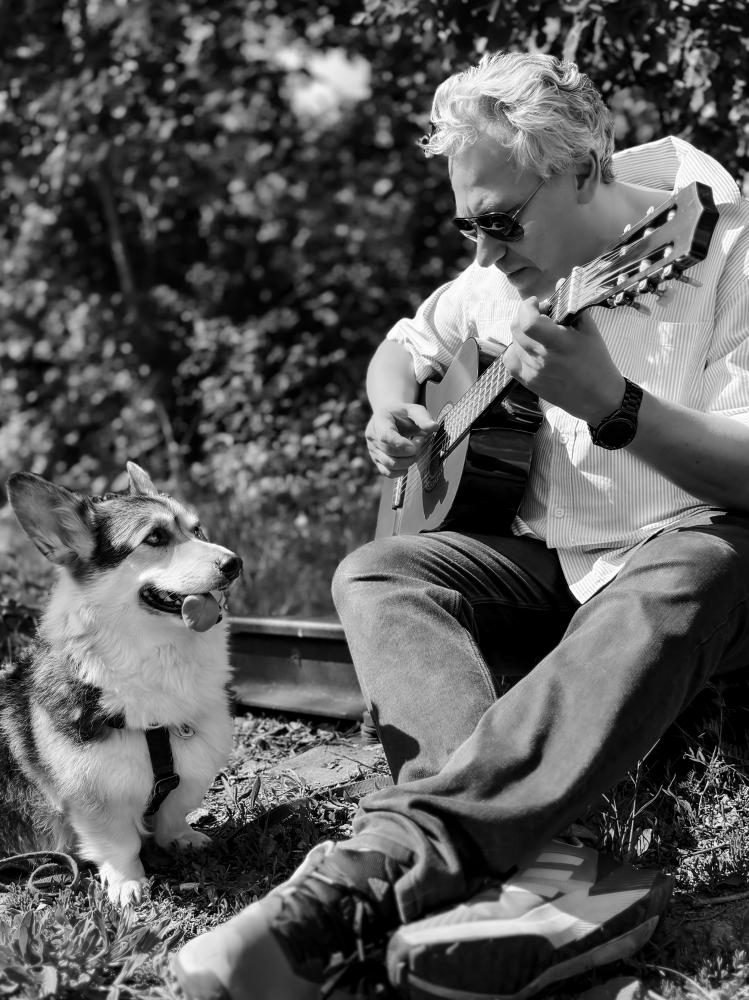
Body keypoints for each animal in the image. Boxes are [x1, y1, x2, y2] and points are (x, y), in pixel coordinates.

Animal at [0, 462, 242, 905]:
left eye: (197, 530)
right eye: (155, 538)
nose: (235, 563)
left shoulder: (189, 765)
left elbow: (174, 811)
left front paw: (183, 838)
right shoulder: (93, 795)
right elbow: (118, 843)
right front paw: (128, 884)